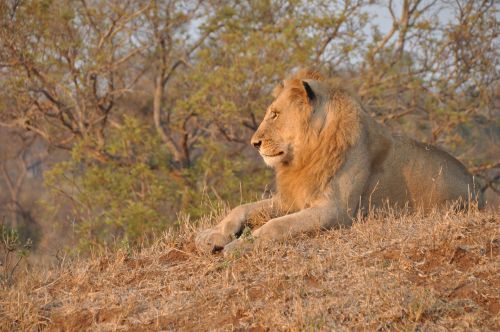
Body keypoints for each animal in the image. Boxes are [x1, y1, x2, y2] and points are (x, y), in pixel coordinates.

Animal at [194, 68, 480, 254]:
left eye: (274, 114)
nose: (254, 143)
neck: (306, 154)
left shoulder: (336, 210)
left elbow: (275, 226)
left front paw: (237, 247)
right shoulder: (294, 197)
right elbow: (241, 208)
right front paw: (212, 235)